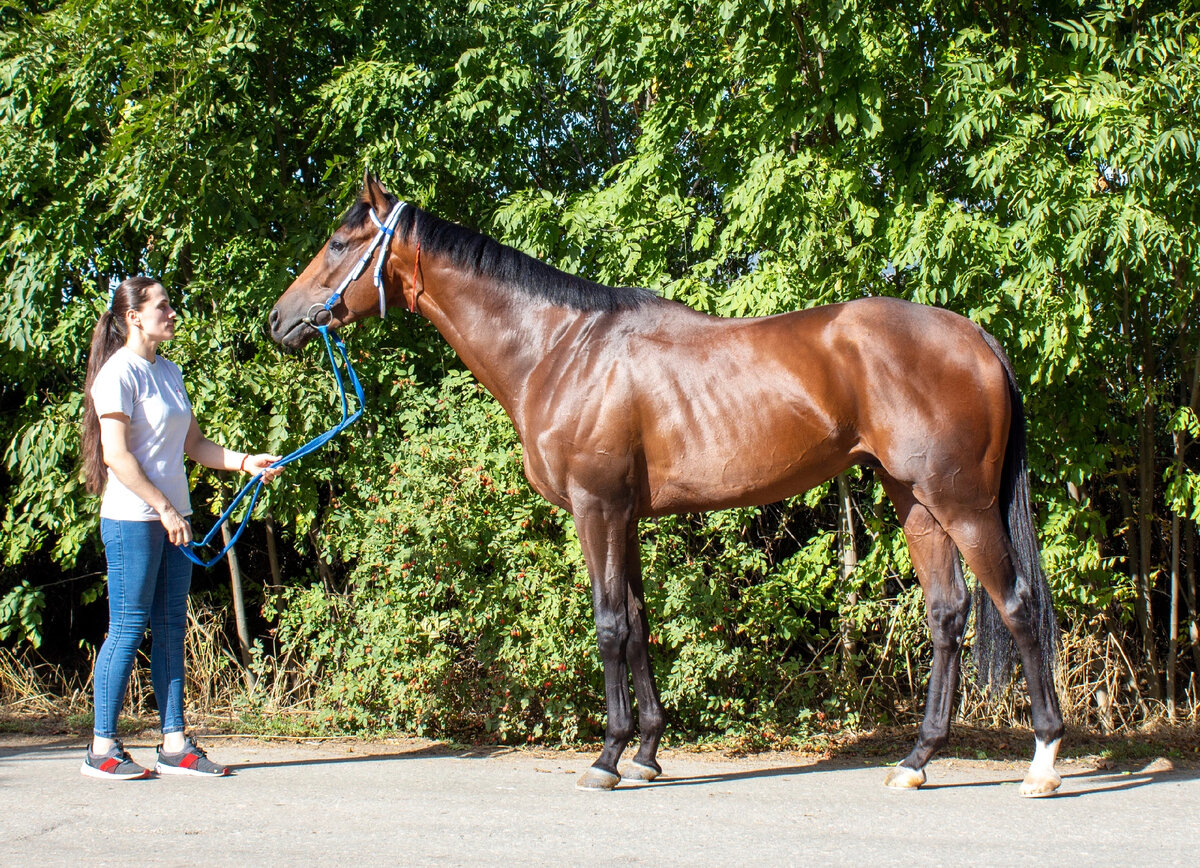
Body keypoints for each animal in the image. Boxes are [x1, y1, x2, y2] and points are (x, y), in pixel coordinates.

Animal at [270, 176, 1060, 801]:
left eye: (339, 243)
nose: (278, 321)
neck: (559, 349)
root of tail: (976, 338)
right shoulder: (626, 516)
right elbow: (639, 623)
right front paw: (647, 752)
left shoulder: (596, 510)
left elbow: (609, 626)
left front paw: (607, 758)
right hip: (916, 502)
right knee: (947, 614)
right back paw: (917, 760)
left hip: (963, 505)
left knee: (1018, 606)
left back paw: (1043, 762)